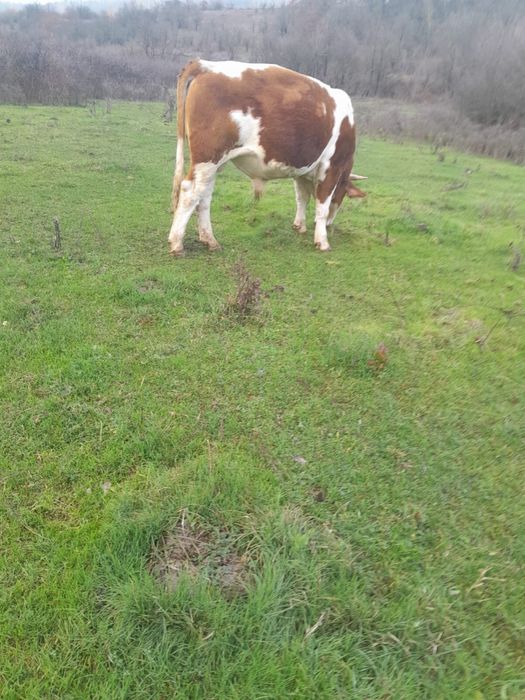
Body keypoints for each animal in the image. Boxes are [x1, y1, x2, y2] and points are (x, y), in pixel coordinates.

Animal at [168, 59, 366, 256]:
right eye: (343, 193)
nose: (330, 225)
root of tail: (205, 65)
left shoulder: (303, 171)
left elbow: (302, 198)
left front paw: (299, 226)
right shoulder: (332, 166)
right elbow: (322, 204)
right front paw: (322, 241)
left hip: (214, 163)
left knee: (204, 196)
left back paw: (209, 240)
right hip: (208, 157)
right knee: (190, 192)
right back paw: (177, 243)